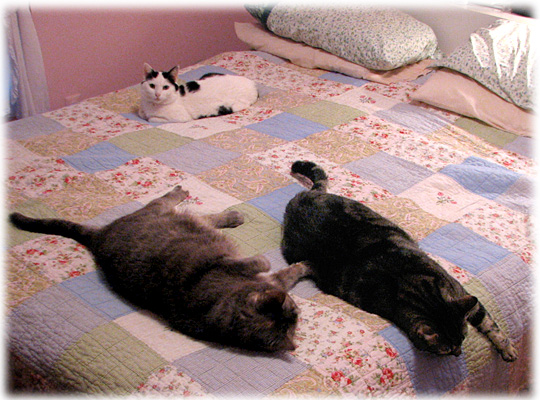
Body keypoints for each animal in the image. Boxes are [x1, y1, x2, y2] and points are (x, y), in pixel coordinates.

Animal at [9, 186, 304, 352]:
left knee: (201, 217)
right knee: (172, 204)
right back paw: (211, 206)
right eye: (293, 308)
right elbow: (261, 263)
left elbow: (285, 274)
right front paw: (289, 265)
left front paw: (301, 267)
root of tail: (100, 236)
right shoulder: (224, 263)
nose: (298, 309)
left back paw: (230, 216)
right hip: (157, 212)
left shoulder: (272, 281)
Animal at [280, 160, 516, 362]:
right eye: (448, 349)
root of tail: (305, 196)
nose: (458, 354)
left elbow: (490, 323)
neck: (421, 293)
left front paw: (507, 348)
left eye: (463, 339)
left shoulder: (462, 293)